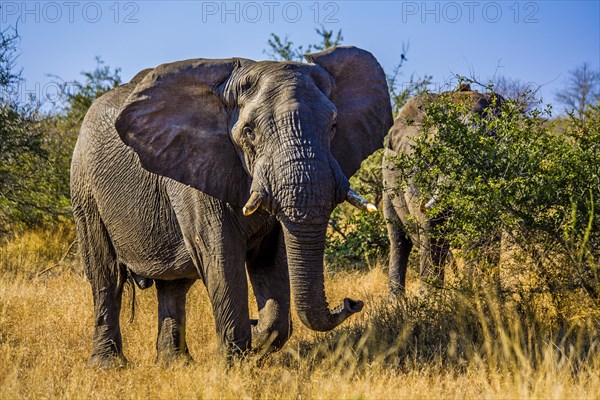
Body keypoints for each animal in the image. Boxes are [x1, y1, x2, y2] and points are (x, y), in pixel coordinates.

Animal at [71, 45, 394, 368]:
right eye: (249, 132)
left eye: (334, 126)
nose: (353, 302)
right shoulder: (195, 175)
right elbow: (222, 258)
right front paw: (234, 365)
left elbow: (272, 258)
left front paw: (259, 338)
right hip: (85, 189)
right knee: (106, 276)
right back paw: (108, 366)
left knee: (172, 286)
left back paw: (175, 364)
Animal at [382, 84, 500, 296]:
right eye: (442, 144)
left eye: (494, 139)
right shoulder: (414, 166)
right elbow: (431, 224)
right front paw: (430, 299)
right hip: (388, 188)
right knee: (398, 241)